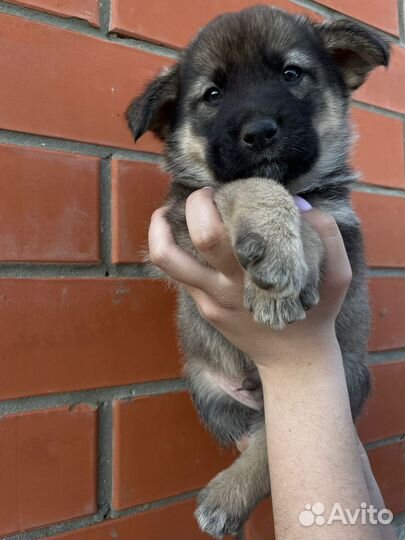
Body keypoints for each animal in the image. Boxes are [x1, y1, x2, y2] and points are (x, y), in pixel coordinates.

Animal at [125, 6, 388, 536]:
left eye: (291, 74)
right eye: (212, 94)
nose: (260, 131)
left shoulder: (344, 229)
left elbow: (306, 211)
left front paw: (286, 263)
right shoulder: (183, 216)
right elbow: (247, 185)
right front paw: (279, 251)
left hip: (349, 378)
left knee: (270, 441)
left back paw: (225, 498)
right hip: (206, 386)